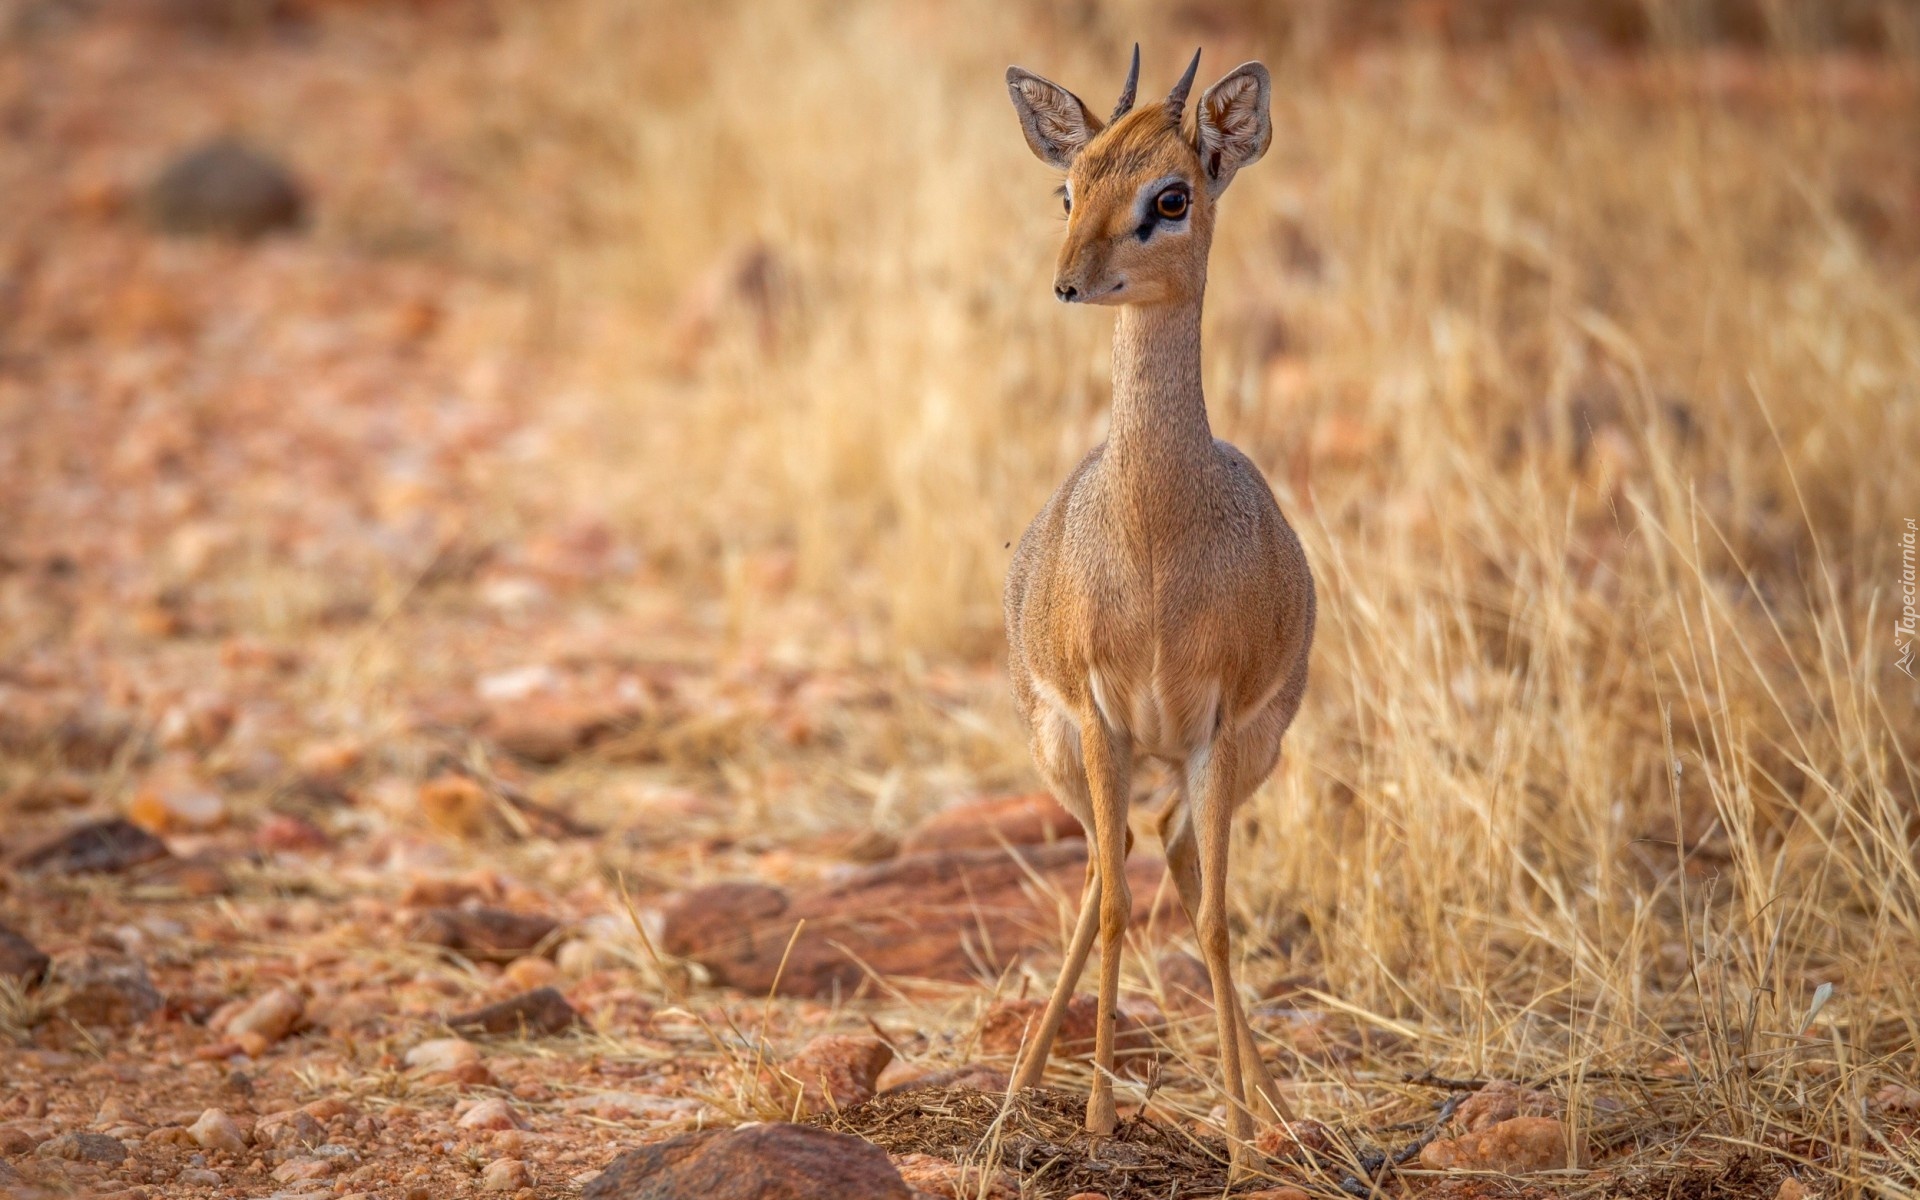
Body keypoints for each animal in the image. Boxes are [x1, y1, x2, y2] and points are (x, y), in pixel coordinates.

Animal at [998, 49, 1313, 1159]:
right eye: (1069, 185)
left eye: (1170, 197)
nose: (1066, 282)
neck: (1155, 546)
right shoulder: (1100, 716)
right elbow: (1116, 909)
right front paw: (1096, 1116)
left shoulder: (1217, 725)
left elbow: (1215, 921)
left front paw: (1238, 1136)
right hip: (1075, 749)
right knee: (1110, 870)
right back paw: (1020, 1091)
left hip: (1231, 756)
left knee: (1169, 855)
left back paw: (1268, 1105)